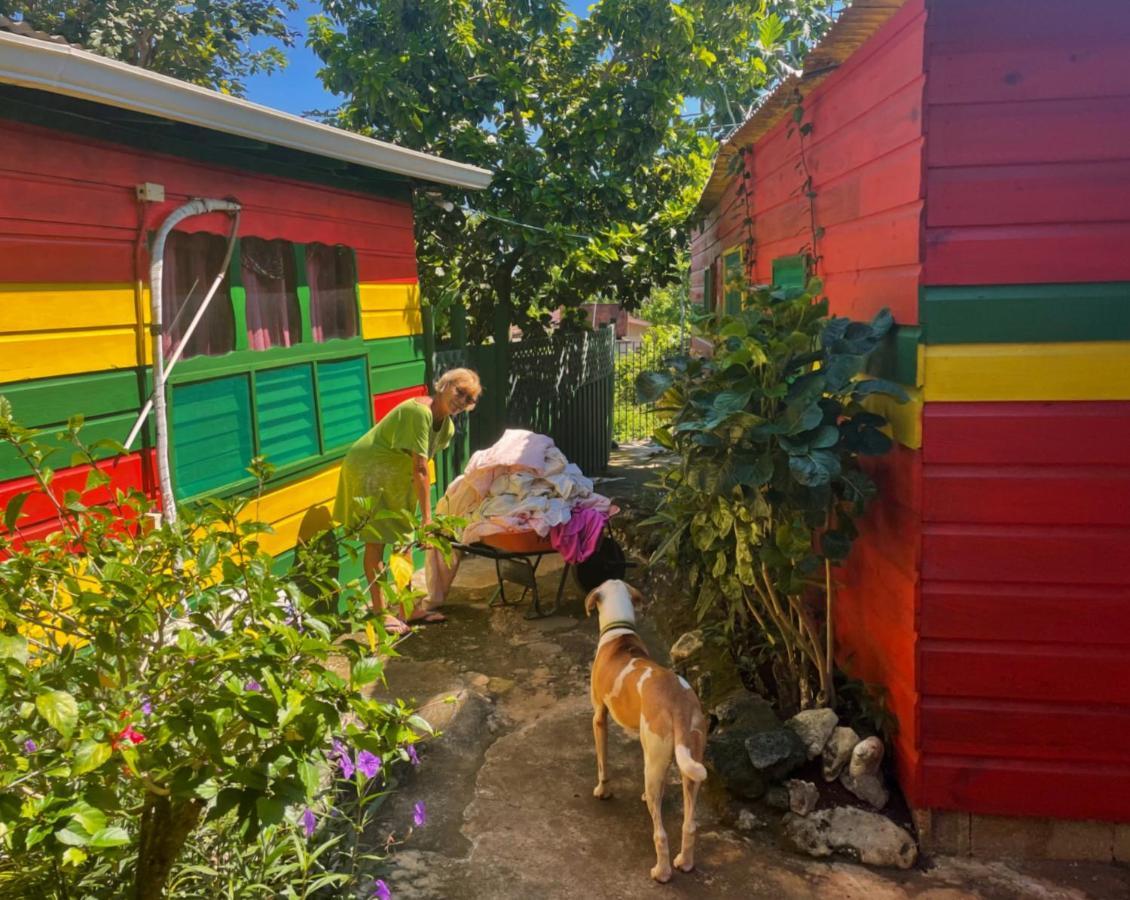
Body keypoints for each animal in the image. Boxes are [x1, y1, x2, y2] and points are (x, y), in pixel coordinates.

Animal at [592, 578, 705, 881]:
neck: (619, 631)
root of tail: (677, 700)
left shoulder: (599, 717)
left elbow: (603, 763)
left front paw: (602, 791)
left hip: (654, 762)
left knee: (661, 833)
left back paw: (662, 872)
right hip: (688, 760)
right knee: (689, 824)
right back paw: (685, 862)